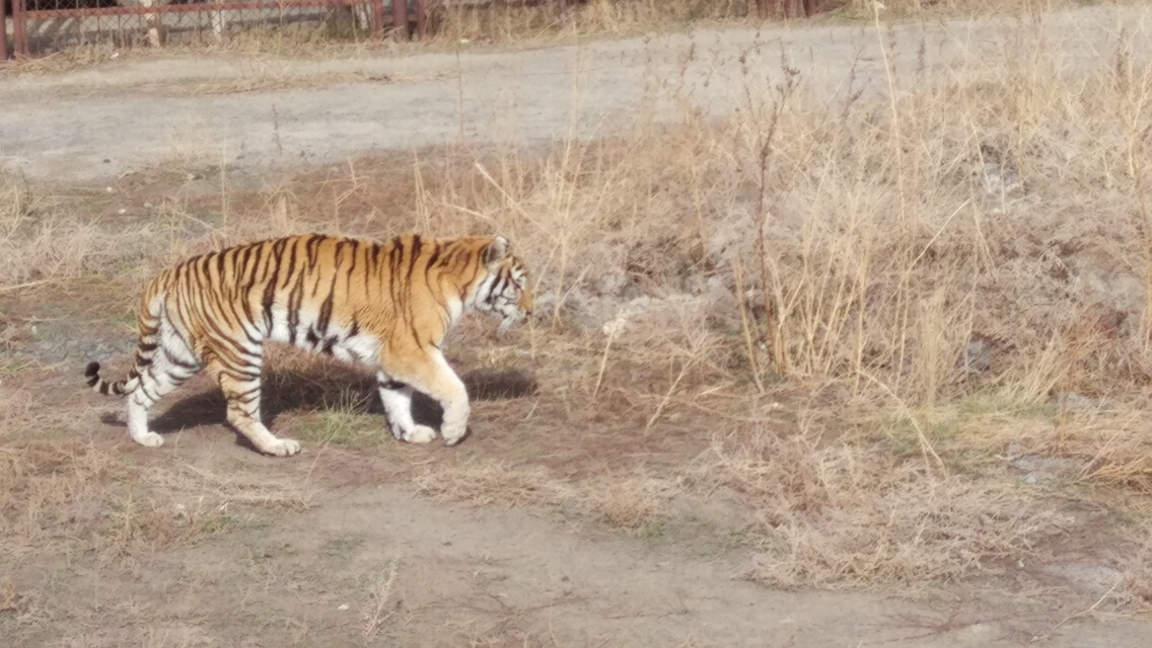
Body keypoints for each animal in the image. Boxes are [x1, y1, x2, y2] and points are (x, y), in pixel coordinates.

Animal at [84, 231, 534, 454]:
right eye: (518, 284)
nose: (532, 312)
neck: (458, 278)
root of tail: (169, 273)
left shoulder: (393, 358)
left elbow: (397, 398)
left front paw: (409, 434)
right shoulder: (411, 350)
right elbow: (454, 389)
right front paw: (453, 432)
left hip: (181, 354)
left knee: (141, 391)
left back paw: (143, 438)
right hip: (239, 351)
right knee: (239, 413)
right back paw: (277, 446)